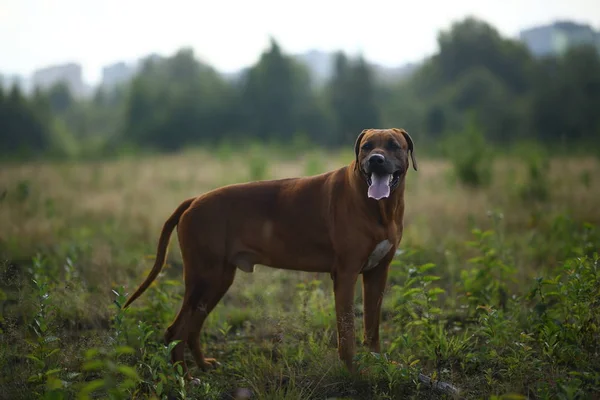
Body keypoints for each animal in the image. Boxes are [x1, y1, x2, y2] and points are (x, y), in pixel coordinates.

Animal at [123, 127, 418, 378]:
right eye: (366, 147)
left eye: (393, 145)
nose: (376, 160)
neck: (380, 208)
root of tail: (194, 200)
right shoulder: (346, 274)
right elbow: (347, 332)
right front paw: (354, 372)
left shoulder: (377, 273)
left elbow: (372, 326)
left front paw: (378, 363)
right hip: (203, 278)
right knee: (176, 330)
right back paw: (184, 377)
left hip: (217, 280)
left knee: (193, 328)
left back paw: (203, 365)